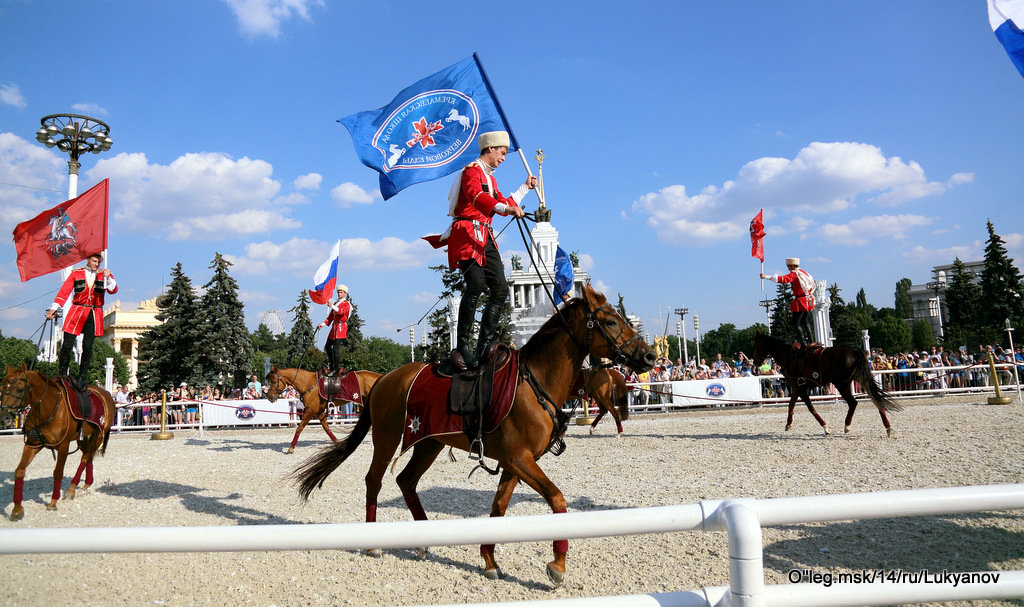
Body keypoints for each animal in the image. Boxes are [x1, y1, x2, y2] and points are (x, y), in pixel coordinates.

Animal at [1, 364, 114, 519]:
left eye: (19, 389)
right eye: (1, 387)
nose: (4, 417)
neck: (47, 408)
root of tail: (106, 394)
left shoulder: (63, 446)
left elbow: (58, 472)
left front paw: (53, 503)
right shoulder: (32, 444)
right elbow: (19, 471)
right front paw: (17, 509)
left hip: (98, 435)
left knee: (85, 458)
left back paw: (72, 489)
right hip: (84, 439)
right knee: (88, 456)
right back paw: (86, 484)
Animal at [294, 286, 655, 585]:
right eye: (610, 321)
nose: (650, 355)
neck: (533, 381)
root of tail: (385, 378)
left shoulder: (514, 463)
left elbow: (498, 508)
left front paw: (489, 560)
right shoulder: (520, 459)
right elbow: (557, 499)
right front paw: (557, 565)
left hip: (428, 443)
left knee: (406, 481)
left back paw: (424, 540)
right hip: (387, 437)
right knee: (375, 480)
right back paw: (372, 543)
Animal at [749, 331, 901, 436]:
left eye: (756, 345)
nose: (755, 361)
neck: (789, 356)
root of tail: (855, 351)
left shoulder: (799, 388)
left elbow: (810, 408)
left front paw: (826, 427)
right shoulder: (798, 388)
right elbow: (791, 405)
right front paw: (788, 424)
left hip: (841, 384)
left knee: (854, 403)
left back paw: (847, 426)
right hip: (859, 379)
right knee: (876, 400)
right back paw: (887, 428)